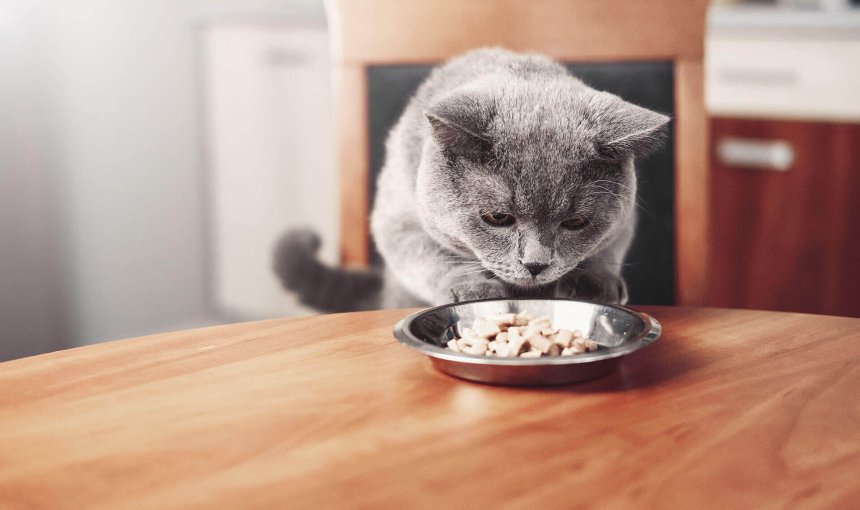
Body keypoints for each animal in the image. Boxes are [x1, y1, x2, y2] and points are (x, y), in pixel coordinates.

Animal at [278, 48, 668, 310]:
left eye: (576, 222)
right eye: (497, 218)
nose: (536, 264)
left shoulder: (624, 219)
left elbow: (607, 249)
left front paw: (593, 284)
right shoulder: (397, 220)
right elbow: (432, 255)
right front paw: (473, 288)